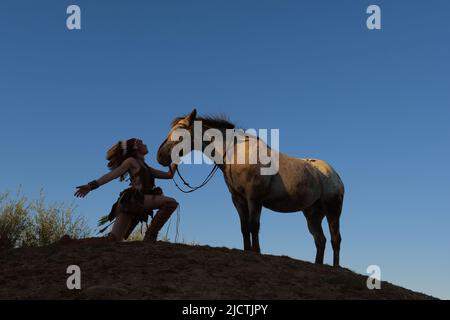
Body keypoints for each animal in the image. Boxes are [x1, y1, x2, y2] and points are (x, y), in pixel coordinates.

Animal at [157, 109, 344, 266]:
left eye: (180, 134)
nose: (160, 156)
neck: (235, 154)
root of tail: (335, 175)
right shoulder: (238, 200)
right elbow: (244, 227)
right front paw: (247, 251)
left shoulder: (254, 199)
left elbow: (254, 225)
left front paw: (257, 251)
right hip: (313, 214)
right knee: (320, 240)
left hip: (332, 211)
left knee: (335, 239)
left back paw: (335, 267)